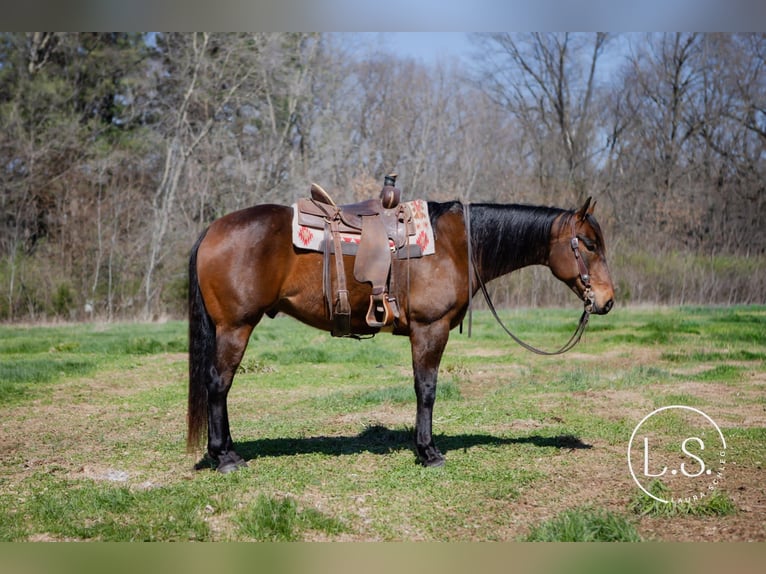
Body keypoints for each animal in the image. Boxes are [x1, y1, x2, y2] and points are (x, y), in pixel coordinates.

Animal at [187, 196, 615, 473]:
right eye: (589, 244)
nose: (607, 300)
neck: (456, 245)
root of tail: (212, 230)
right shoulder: (430, 329)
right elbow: (426, 389)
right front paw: (428, 452)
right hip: (236, 328)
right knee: (218, 384)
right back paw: (224, 458)